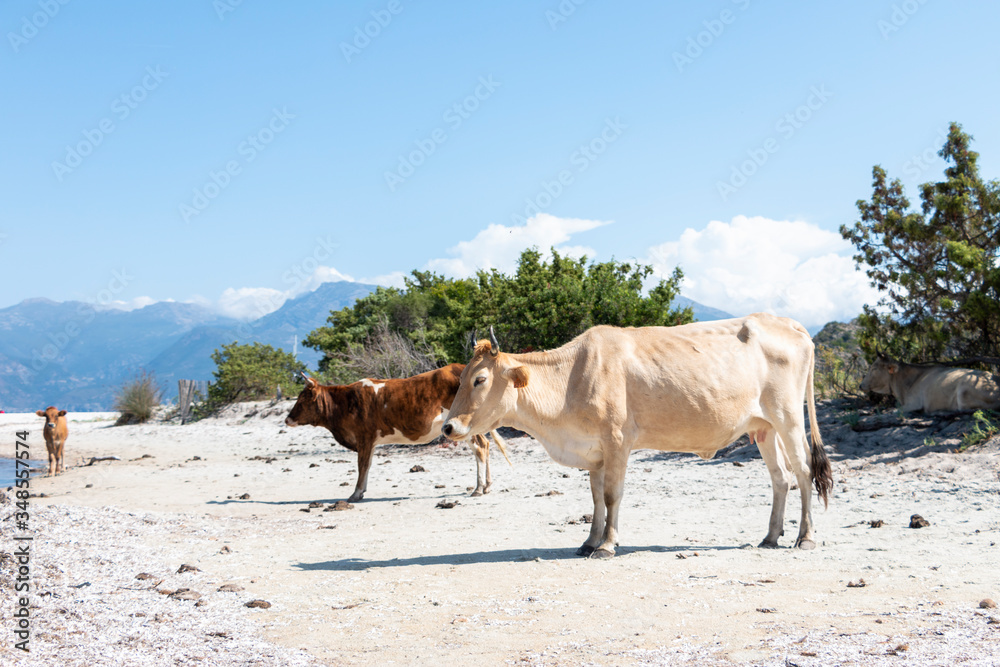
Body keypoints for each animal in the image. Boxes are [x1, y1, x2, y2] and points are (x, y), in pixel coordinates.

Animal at [284, 363, 509, 502]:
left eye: (302, 399)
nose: (287, 419)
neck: (345, 402)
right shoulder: (370, 442)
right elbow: (367, 465)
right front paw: (361, 491)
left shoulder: (364, 437)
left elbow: (362, 466)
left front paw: (355, 493)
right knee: (485, 445)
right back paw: (487, 486)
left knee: (480, 448)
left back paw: (478, 488)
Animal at [442, 315, 833, 559]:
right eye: (460, 378)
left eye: (480, 379)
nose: (448, 427)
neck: (571, 379)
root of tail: (789, 324)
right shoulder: (595, 451)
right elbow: (596, 498)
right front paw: (589, 541)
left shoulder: (617, 441)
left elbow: (612, 496)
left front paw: (607, 545)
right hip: (763, 427)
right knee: (781, 479)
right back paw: (770, 538)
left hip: (788, 418)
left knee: (803, 473)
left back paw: (805, 537)